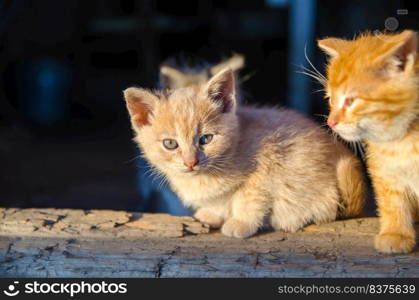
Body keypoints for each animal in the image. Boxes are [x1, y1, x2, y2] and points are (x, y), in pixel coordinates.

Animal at [123, 67, 366, 237]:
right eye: (170, 144)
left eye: (206, 139)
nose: (191, 162)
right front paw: (211, 214)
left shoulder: (268, 164)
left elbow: (249, 199)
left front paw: (241, 223)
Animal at [320, 29, 418, 253]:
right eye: (330, 99)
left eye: (350, 100)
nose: (331, 122)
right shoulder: (384, 167)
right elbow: (391, 199)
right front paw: (396, 233)